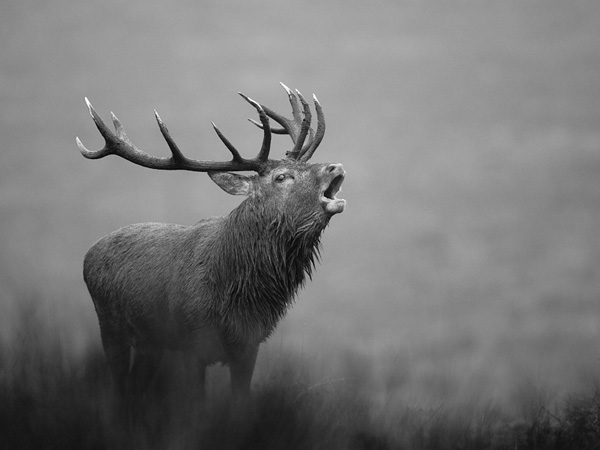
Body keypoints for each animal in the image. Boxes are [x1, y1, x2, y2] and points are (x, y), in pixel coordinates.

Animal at [75, 84, 346, 404]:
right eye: (281, 177)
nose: (335, 167)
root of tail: (89, 254)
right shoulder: (191, 343)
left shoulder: (249, 345)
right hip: (109, 323)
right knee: (118, 383)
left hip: (150, 341)